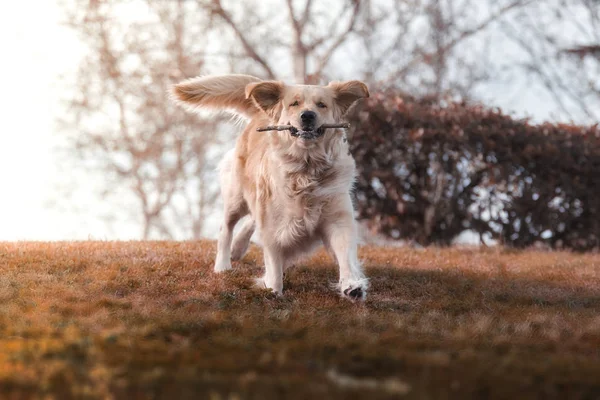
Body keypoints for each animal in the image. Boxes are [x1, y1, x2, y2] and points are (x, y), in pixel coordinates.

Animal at [172, 75, 370, 300]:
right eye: (294, 103)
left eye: (322, 105)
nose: (307, 115)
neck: (305, 168)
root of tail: (260, 113)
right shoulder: (273, 225)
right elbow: (273, 259)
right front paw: (273, 289)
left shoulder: (337, 217)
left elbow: (345, 253)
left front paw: (352, 285)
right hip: (236, 198)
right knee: (226, 228)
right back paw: (223, 264)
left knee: (251, 219)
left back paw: (238, 247)